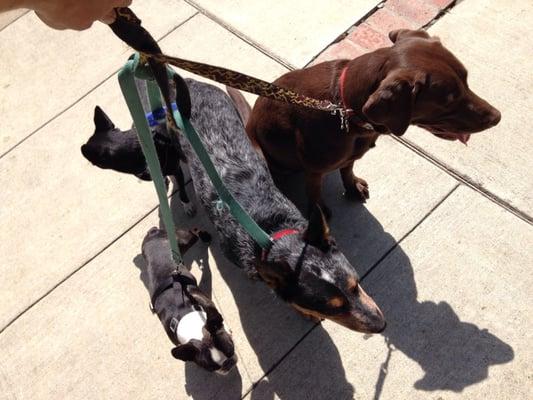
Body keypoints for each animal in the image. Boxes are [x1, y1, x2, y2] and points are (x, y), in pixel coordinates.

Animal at [140, 227, 236, 374]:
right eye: (211, 368)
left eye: (231, 349)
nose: (228, 364)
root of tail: (153, 232)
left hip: (186, 240)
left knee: (193, 231)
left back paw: (204, 237)